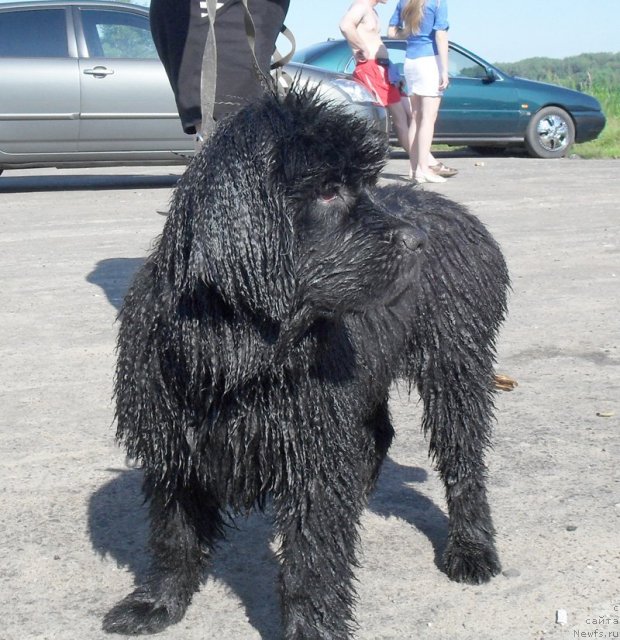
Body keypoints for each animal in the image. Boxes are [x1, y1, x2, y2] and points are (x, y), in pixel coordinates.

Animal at [101, 87, 508, 636]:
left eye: (366, 185)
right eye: (329, 191)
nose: (418, 242)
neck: (238, 342)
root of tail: (458, 213)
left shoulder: (312, 443)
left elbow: (312, 558)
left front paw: (313, 627)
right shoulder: (172, 442)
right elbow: (174, 534)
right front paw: (156, 604)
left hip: (455, 364)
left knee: (463, 459)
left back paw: (471, 548)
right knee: (378, 434)